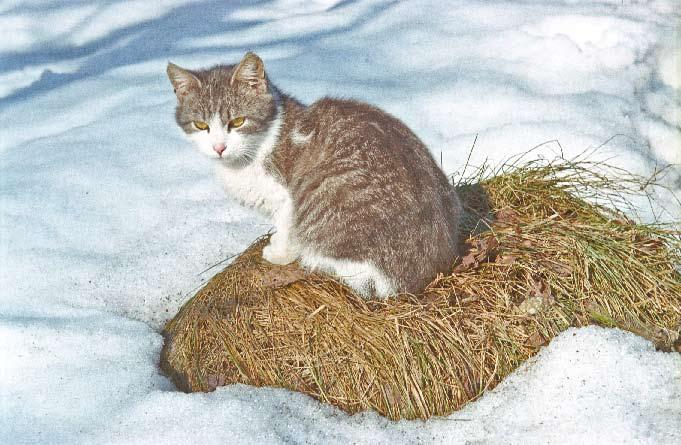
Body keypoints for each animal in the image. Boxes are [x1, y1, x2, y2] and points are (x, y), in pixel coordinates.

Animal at [167, 52, 460, 298]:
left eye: (238, 121)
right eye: (201, 125)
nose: (219, 147)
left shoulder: (286, 197)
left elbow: (287, 226)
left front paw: (280, 251)